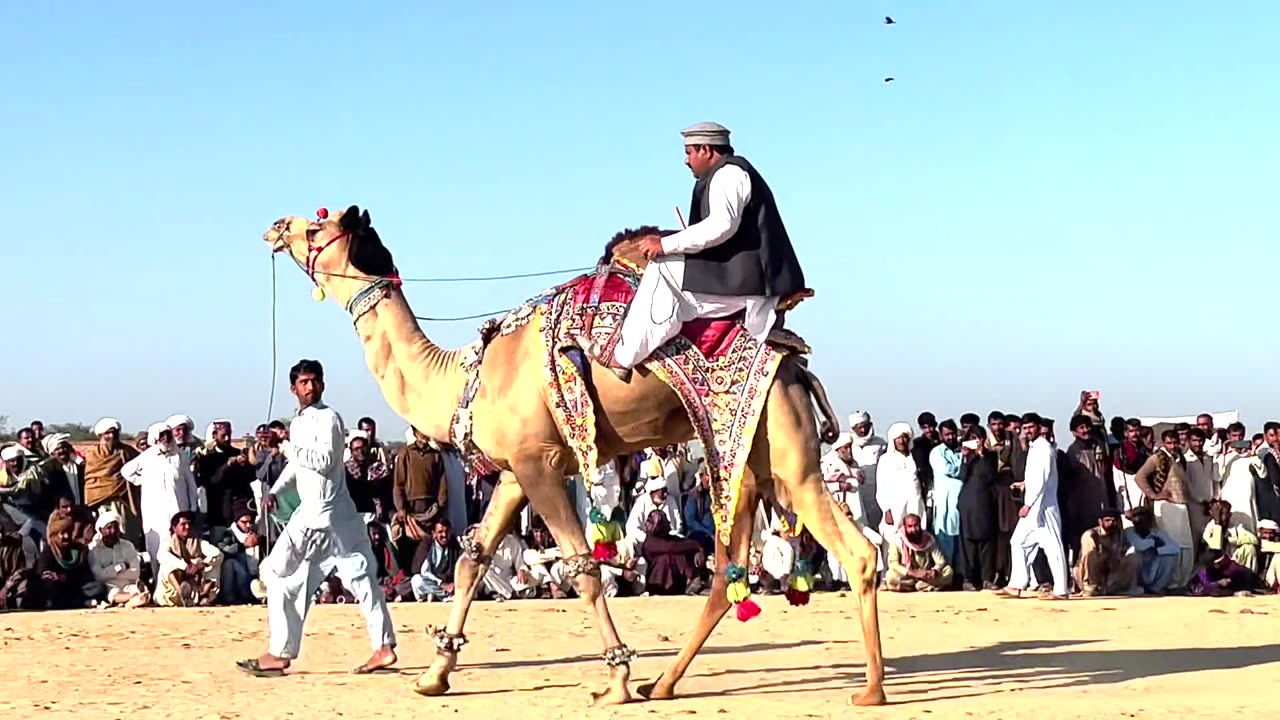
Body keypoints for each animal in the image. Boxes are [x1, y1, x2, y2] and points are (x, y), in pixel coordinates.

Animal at [263, 204, 885, 702]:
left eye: (316, 226)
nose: (275, 225)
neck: (464, 377)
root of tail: (796, 366)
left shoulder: (539, 466)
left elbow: (584, 567)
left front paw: (615, 681)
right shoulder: (515, 472)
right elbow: (472, 560)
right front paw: (434, 675)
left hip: (785, 454)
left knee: (856, 552)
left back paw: (871, 690)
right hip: (749, 462)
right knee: (724, 575)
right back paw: (664, 683)